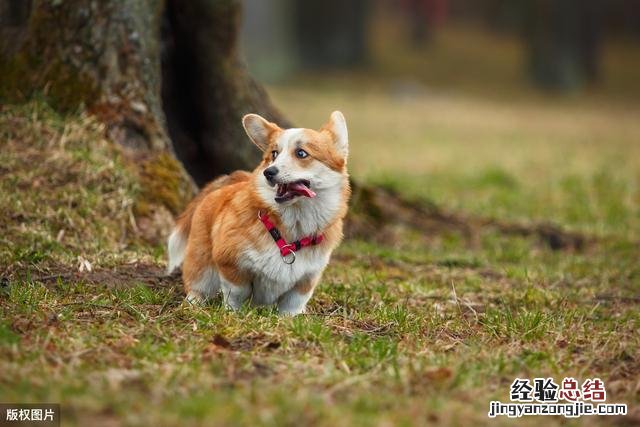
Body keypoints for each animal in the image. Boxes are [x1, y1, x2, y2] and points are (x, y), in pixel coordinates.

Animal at [166, 112, 350, 316]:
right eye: (274, 154)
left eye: (301, 153)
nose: (268, 172)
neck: (292, 228)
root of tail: (236, 180)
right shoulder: (230, 264)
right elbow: (236, 293)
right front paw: (234, 314)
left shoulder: (306, 281)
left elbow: (292, 304)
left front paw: (288, 319)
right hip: (202, 264)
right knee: (198, 285)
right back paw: (193, 304)